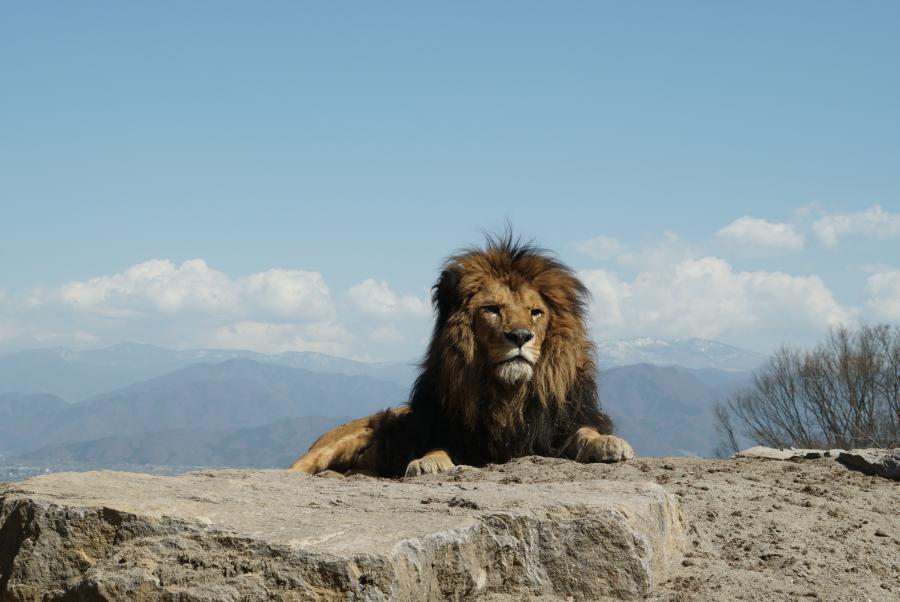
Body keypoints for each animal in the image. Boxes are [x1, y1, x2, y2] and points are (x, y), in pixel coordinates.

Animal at [288, 232, 632, 476]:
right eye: (492, 309)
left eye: (536, 312)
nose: (521, 336)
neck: (509, 394)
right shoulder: (450, 434)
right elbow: (437, 447)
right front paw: (427, 463)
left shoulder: (558, 429)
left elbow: (585, 431)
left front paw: (609, 443)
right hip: (341, 440)